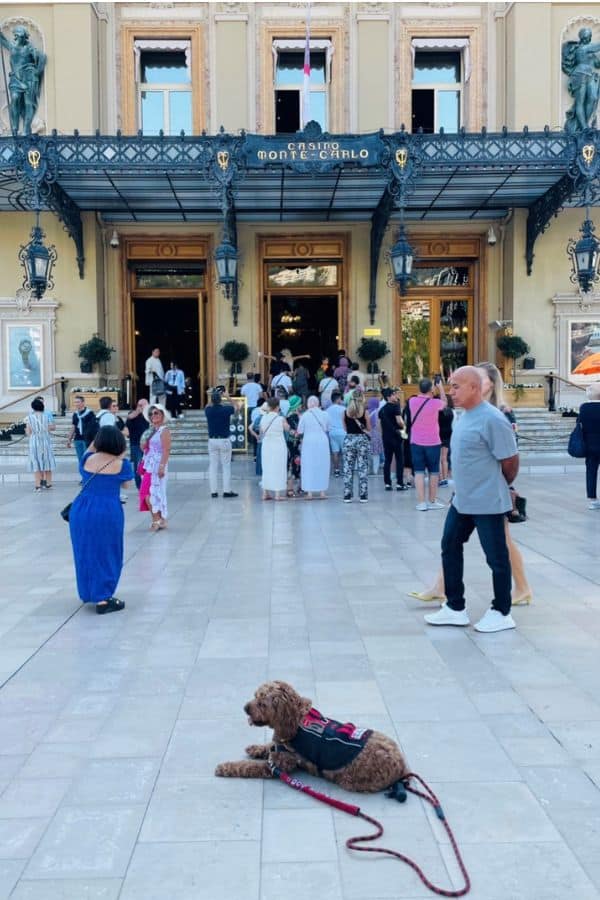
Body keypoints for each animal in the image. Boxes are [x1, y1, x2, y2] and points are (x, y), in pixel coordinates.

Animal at [214, 680, 408, 792]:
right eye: (255, 696)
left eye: (262, 703)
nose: (245, 708)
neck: (294, 720)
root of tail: (402, 767)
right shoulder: (280, 746)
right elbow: (269, 746)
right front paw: (255, 748)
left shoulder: (280, 764)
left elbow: (247, 766)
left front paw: (225, 767)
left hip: (350, 779)